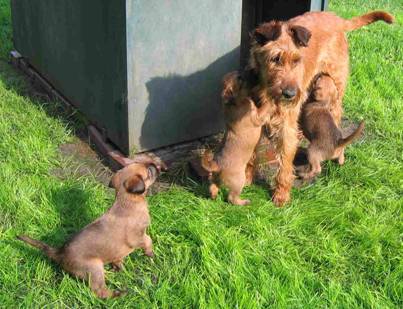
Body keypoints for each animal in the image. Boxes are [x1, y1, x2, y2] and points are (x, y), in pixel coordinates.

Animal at [17, 158, 166, 298]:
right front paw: (150, 253)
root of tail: (59, 253)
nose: (154, 164)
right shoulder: (137, 236)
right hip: (95, 269)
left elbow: (118, 257)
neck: (127, 201)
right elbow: (148, 240)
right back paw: (119, 294)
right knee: (100, 292)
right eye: (149, 172)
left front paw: (118, 266)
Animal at [202, 71, 272, 205]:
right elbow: (265, 108)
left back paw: (213, 196)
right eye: (240, 78)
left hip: (215, 177)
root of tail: (217, 165)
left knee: (213, 185)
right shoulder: (257, 117)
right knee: (231, 198)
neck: (236, 101)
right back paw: (243, 202)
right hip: (239, 180)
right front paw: (270, 97)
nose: (253, 73)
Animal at [248, 10, 396, 206]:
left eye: (297, 60)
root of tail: (337, 19)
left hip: (336, 89)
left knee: (336, 120)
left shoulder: (286, 126)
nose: (290, 94)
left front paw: (281, 195)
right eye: (275, 58)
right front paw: (246, 177)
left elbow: (285, 164)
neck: (268, 91)